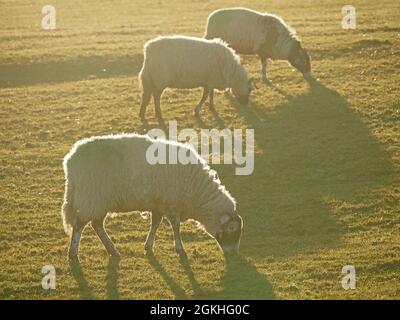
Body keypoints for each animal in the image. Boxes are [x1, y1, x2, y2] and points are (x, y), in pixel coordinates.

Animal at [62, 132, 244, 260]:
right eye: (232, 229)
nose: (233, 254)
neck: (197, 191)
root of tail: (70, 161)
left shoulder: (158, 203)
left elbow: (155, 223)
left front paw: (148, 246)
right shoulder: (171, 203)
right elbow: (175, 226)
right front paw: (180, 248)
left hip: (98, 200)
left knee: (96, 225)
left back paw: (112, 250)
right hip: (92, 197)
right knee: (80, 225)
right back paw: (73, 253)